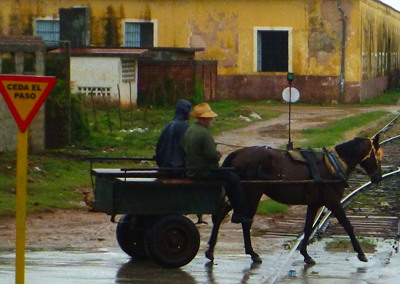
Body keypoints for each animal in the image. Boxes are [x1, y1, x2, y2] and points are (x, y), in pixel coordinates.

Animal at [206, 135, 384, 264]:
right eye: (378, 155)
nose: (378, 177)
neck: (335, 164)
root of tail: (237, 154)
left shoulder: (314, 203)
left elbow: (308, 227)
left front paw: (305, 254)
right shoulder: (333, 202)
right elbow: (348, 225)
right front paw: (361, 253)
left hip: (239, 193)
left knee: (221, 216)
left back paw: (210, 251)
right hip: (252, 193)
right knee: (245, 221)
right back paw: (252, 253)